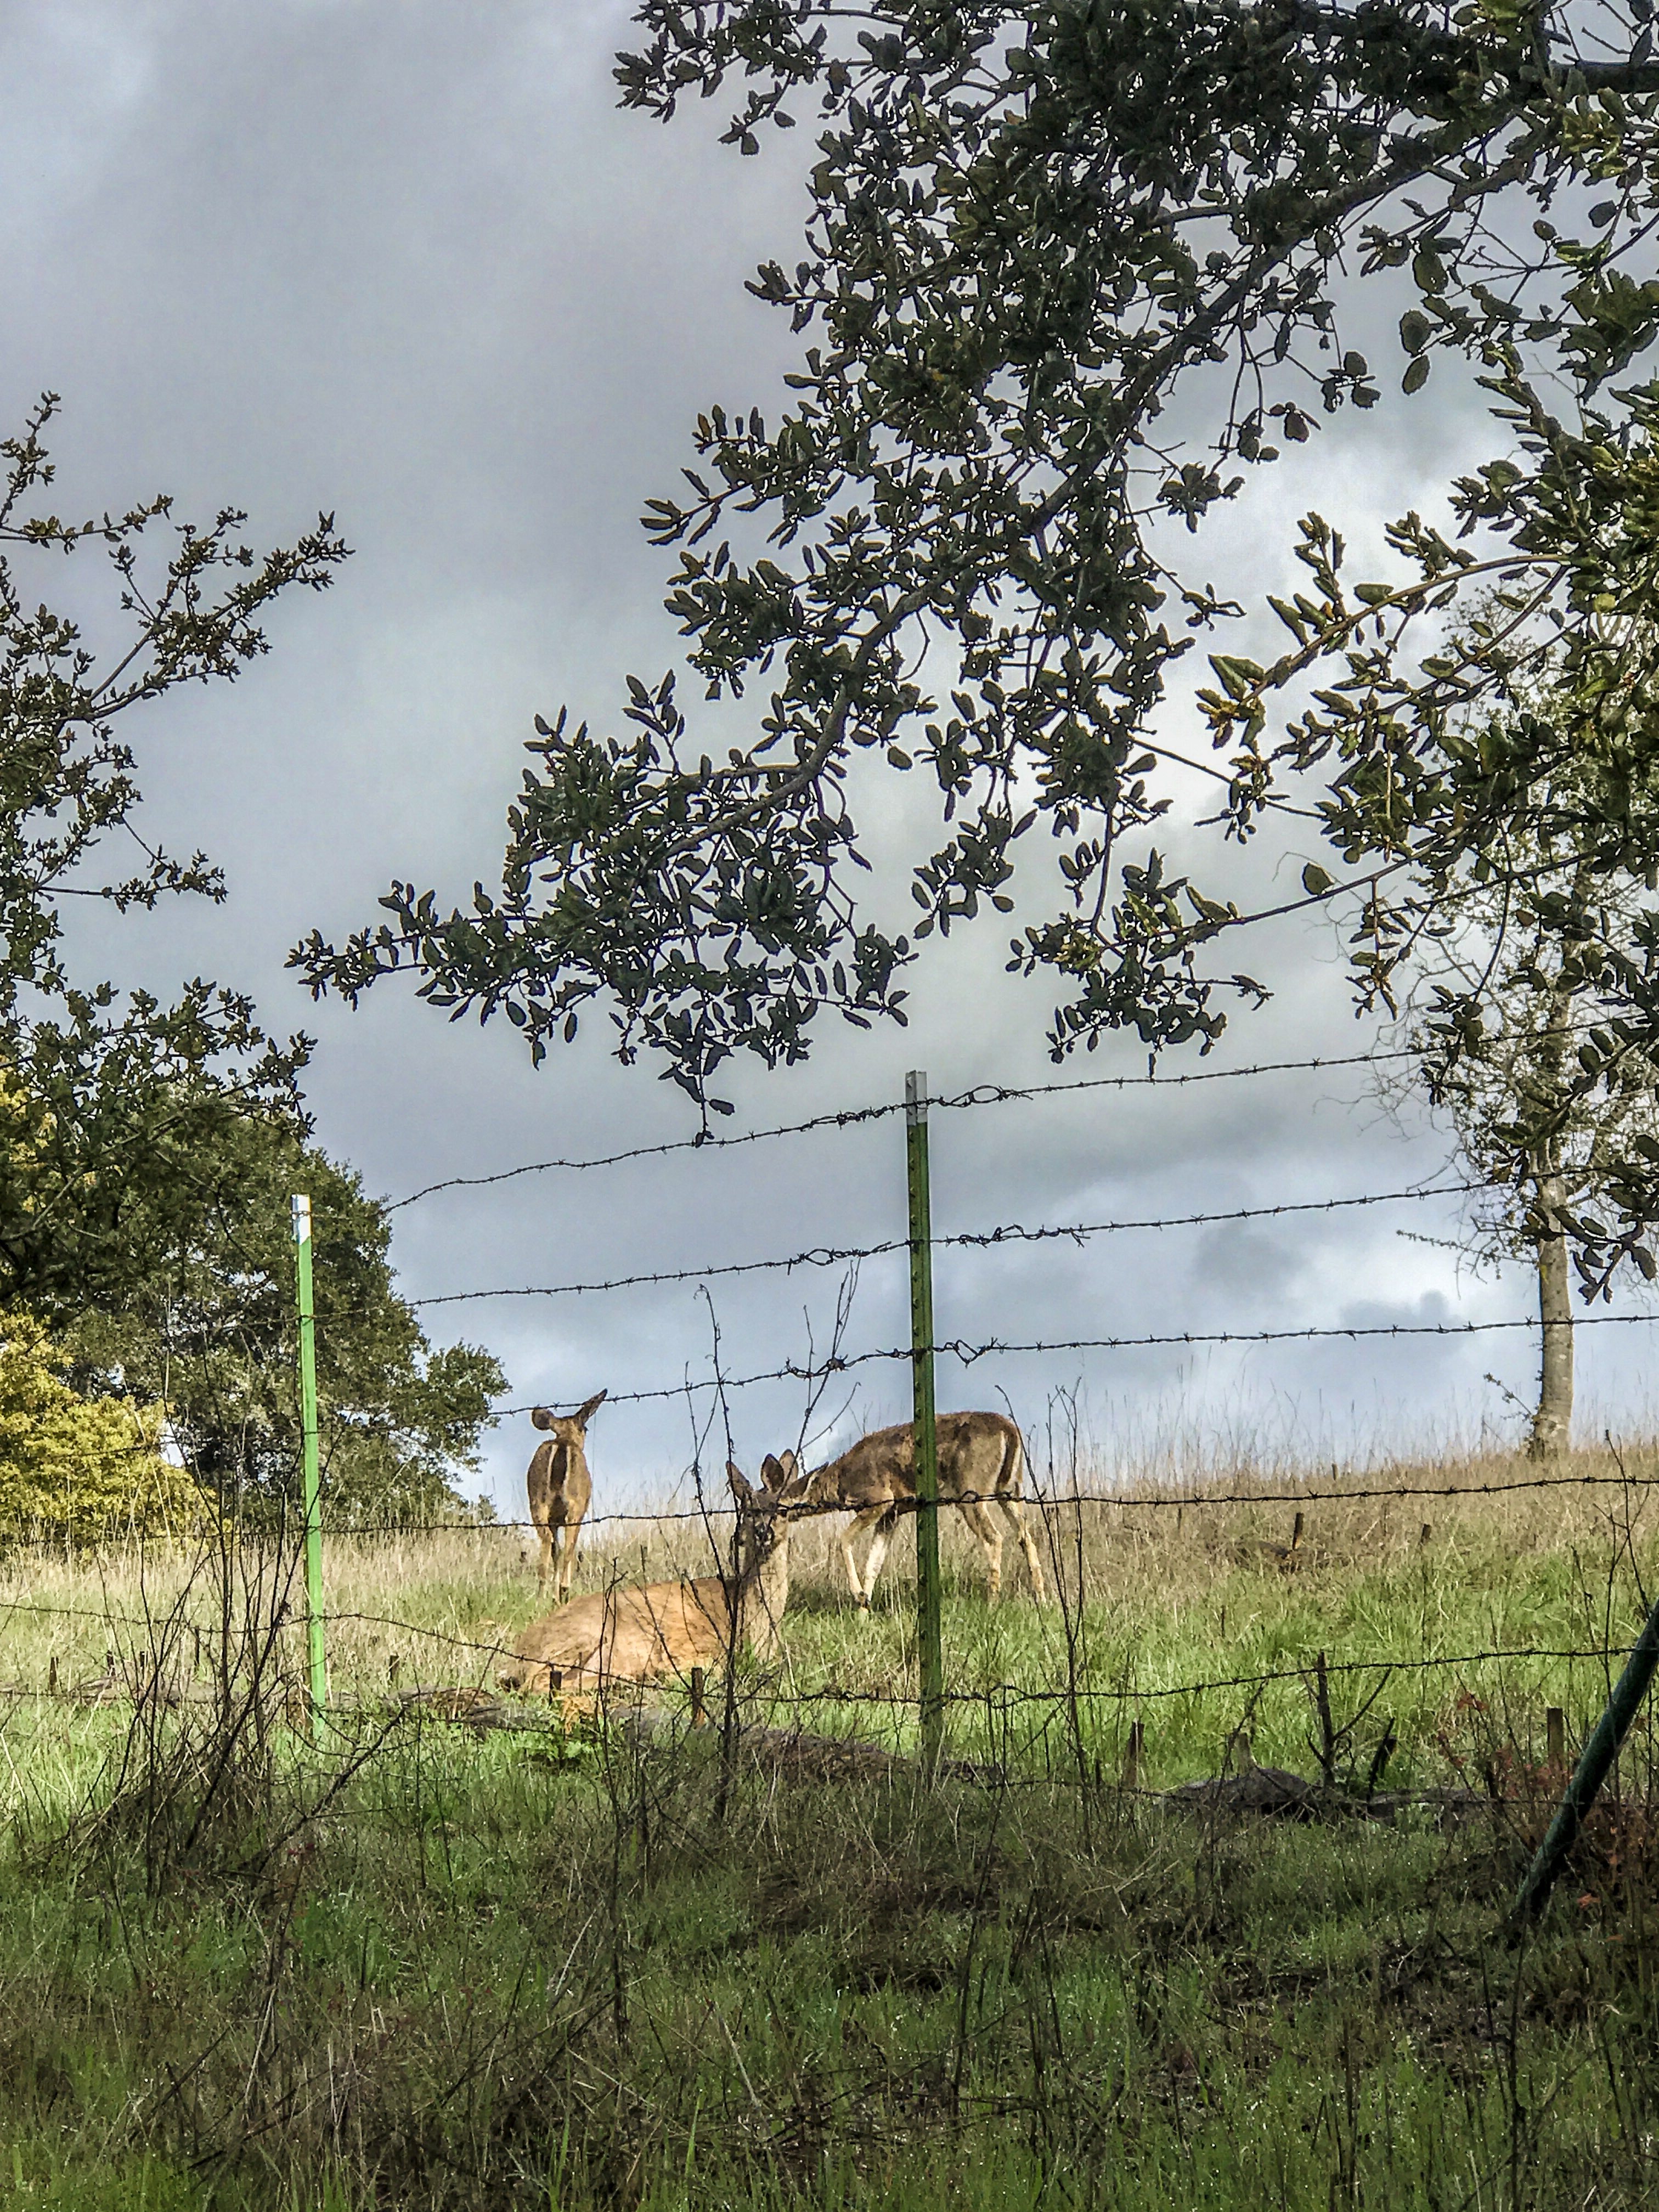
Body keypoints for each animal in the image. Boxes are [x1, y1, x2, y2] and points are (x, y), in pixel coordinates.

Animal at [500, 1451, 800, 1690]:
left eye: (783, 1511)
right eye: (748, 1511)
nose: (763, 1532)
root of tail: (520, 1654)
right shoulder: (699, 1650)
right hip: (593, 1637)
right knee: (541, 1683)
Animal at [526, 1389, 606, 1601]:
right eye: (585, 1428)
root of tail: (562, 1445)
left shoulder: (554, 1520)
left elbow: (557, 1551)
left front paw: (552, 1595)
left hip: (537, 1502)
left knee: (549, 1541)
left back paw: (542, 1593)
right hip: (575, 1506)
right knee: (569, 1547)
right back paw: (564, 1590)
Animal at [792, 1415, 1053, 1610]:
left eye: (786, 1498)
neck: (842, 1482)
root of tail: (1010, 1431)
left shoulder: (879, 1499)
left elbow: (844, 1539)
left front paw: (858, 1596)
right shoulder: (892, 1514)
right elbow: (873, 1565)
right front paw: (863, 1610)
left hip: (972, 1491)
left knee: (994, 1537)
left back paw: (992, 1602)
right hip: (1010, 1489)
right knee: (1025, 1538)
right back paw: (1043, 1600)